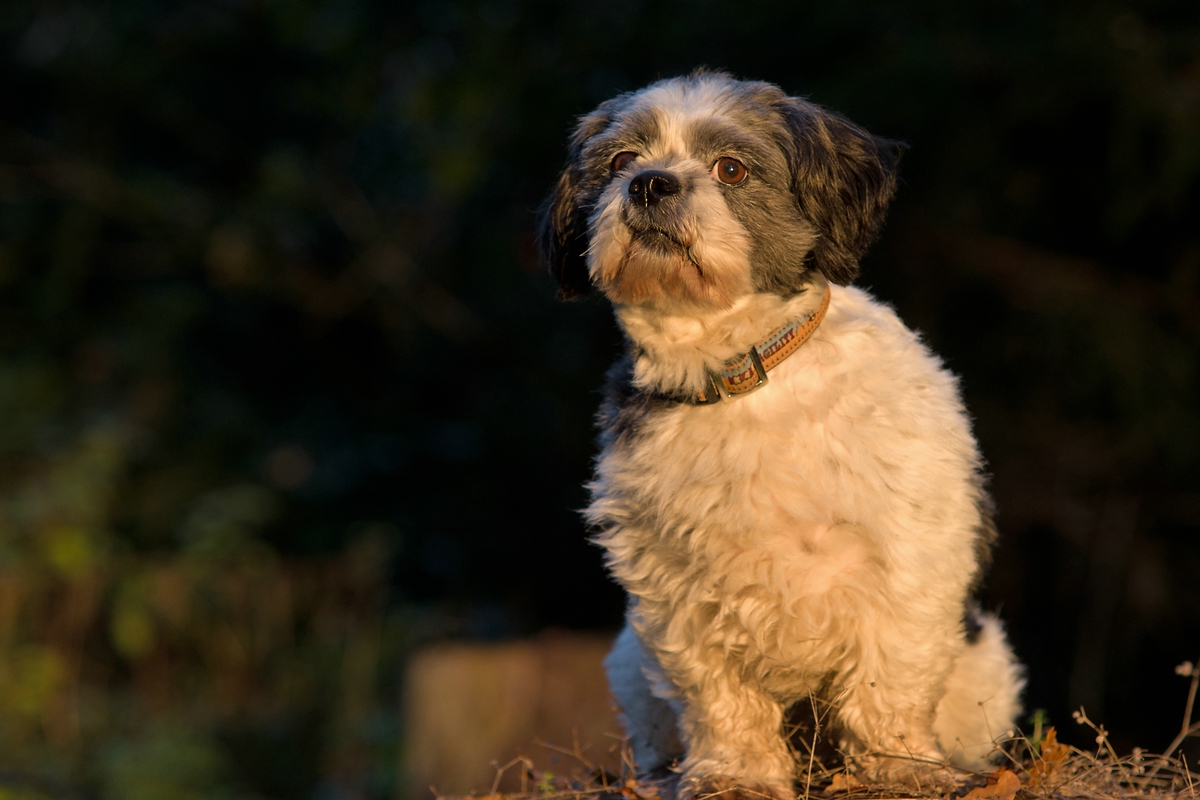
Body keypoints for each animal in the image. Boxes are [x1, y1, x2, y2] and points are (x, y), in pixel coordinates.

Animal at [540, 71, 1027, 796]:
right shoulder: (673, 584)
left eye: (731, 169)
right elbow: (718, 695)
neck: (743, 376)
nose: (651, 183)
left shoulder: (906, 560)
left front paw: (898, 769)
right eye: (622, 160)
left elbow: (889, 680)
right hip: (629, 660)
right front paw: (734, 775)